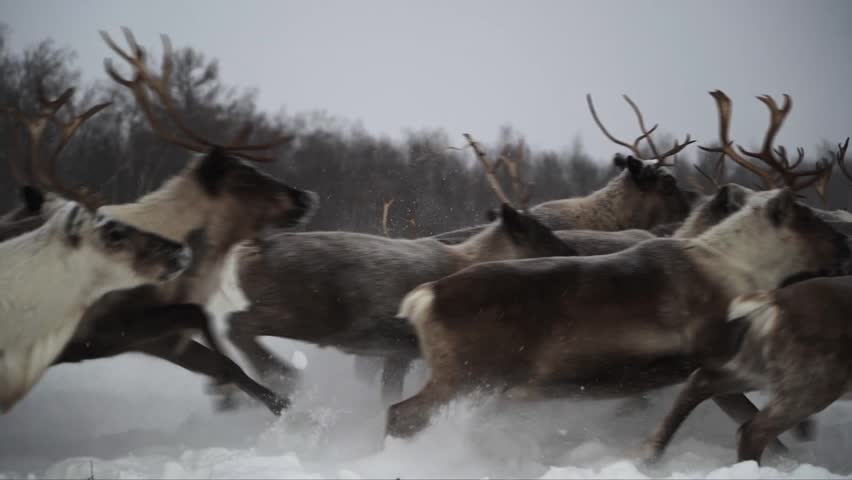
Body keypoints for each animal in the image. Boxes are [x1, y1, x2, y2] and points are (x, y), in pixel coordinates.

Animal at [9, 28, 319, 416]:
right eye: (246, 177)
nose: (306, 197)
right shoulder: (107, 331)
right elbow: (214, 342)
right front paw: (267, 394)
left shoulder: (148, 338)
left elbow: (220, 358)